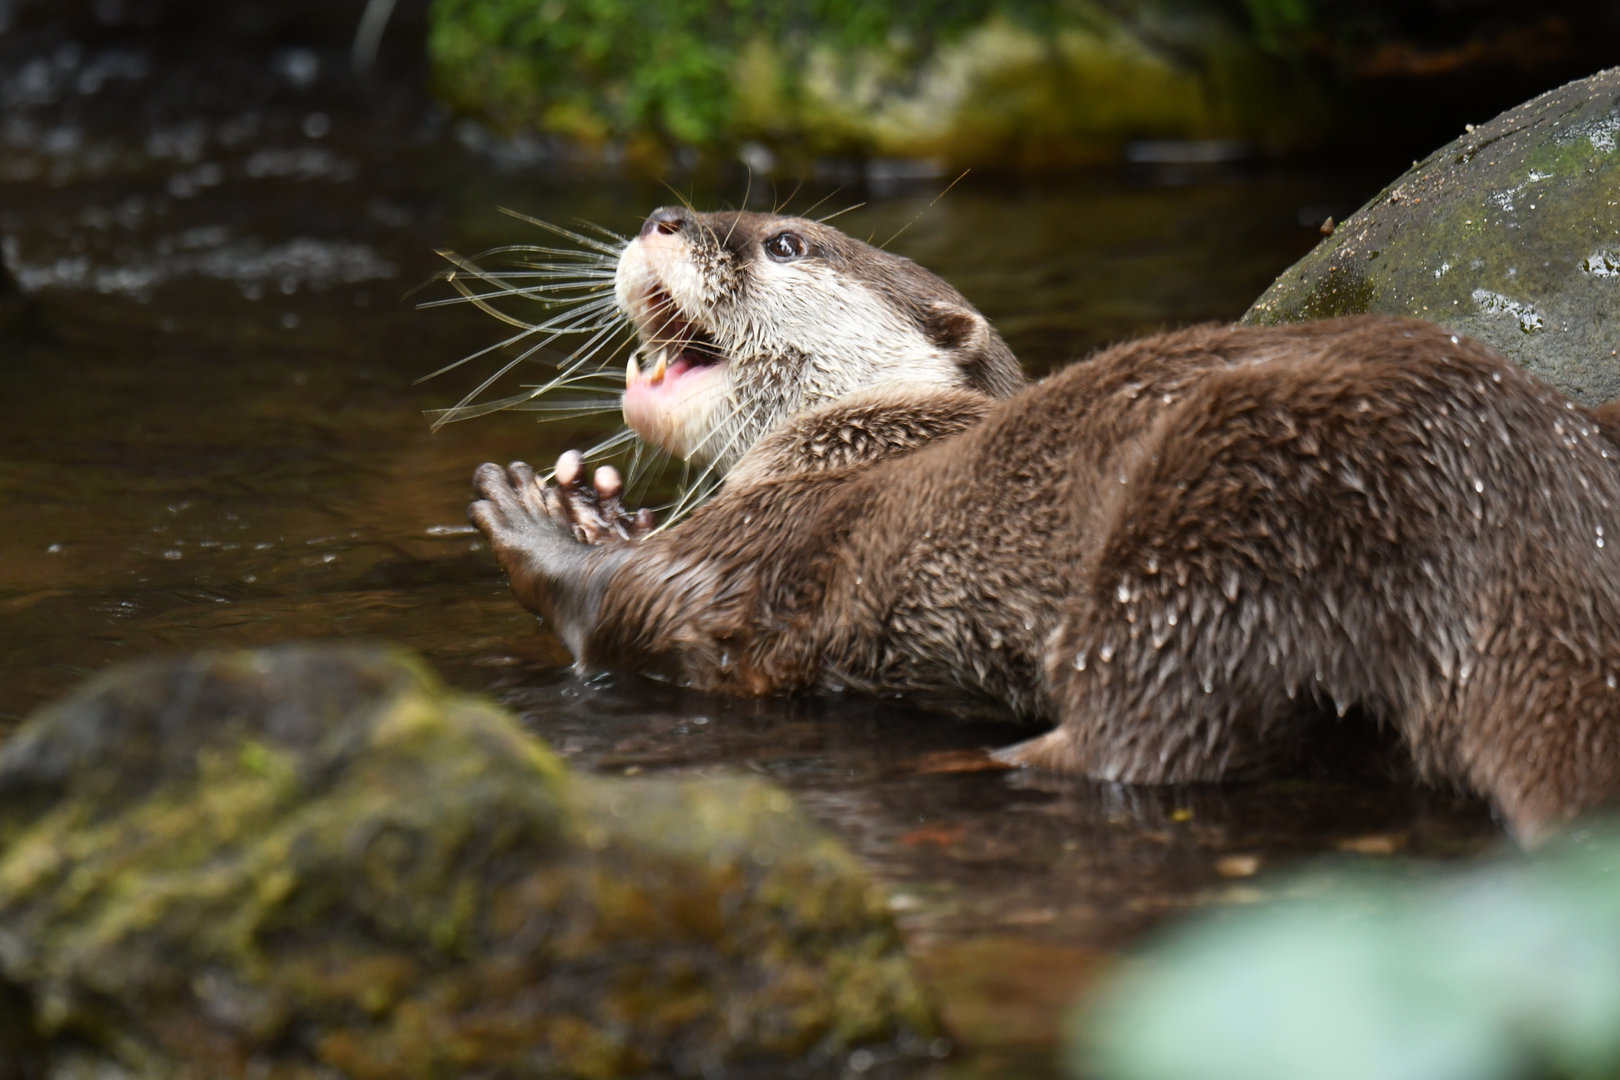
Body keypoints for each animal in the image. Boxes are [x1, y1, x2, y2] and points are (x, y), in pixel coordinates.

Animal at [467, 206, 1620, 843]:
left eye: (785, 241)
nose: (664, 216)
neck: (869, 433)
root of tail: (1520, 483)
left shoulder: (771, 539)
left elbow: (644, 606)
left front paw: (538, 521)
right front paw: (593, 501)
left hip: (1223, 493)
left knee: (1151, 725)